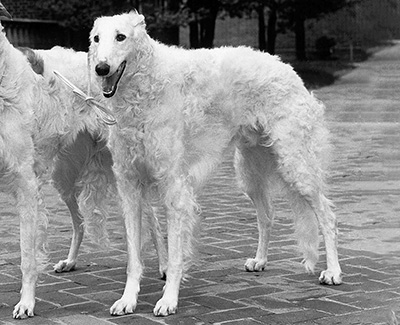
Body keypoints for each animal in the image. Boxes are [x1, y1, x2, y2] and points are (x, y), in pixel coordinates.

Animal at [90, 10, 344, 316]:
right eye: (96, 38)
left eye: (121, 36)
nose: (101, 69)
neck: (147, 86)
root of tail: (286, 68)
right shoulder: (129, 186)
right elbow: (133, 258)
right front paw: (128, 300)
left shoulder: (175, 188)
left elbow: (175, 255)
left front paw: (168, 300)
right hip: (249, 171)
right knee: (267, 215)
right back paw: (260, 260)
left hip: (295, 164)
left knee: (327, 214)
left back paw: (333, 272)